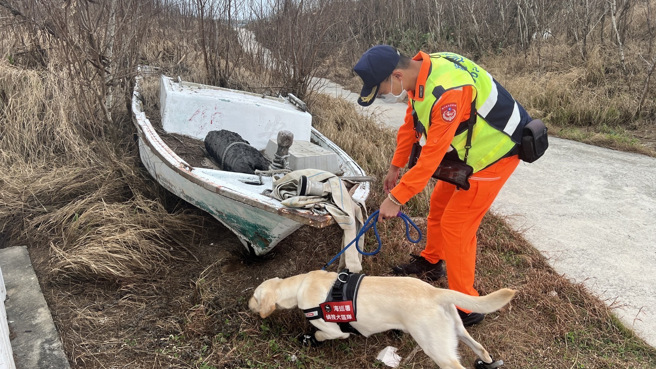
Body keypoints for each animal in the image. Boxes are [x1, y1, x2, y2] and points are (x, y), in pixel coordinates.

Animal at [249, 268, 516, 368]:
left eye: (254, 297)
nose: (247, 305)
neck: (301, 285)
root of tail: (435, 291)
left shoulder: (335, 330)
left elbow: (320, 334)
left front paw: (309, 339)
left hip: (435, 347)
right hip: (456, 329)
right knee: (479, 346)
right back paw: (486, 360)